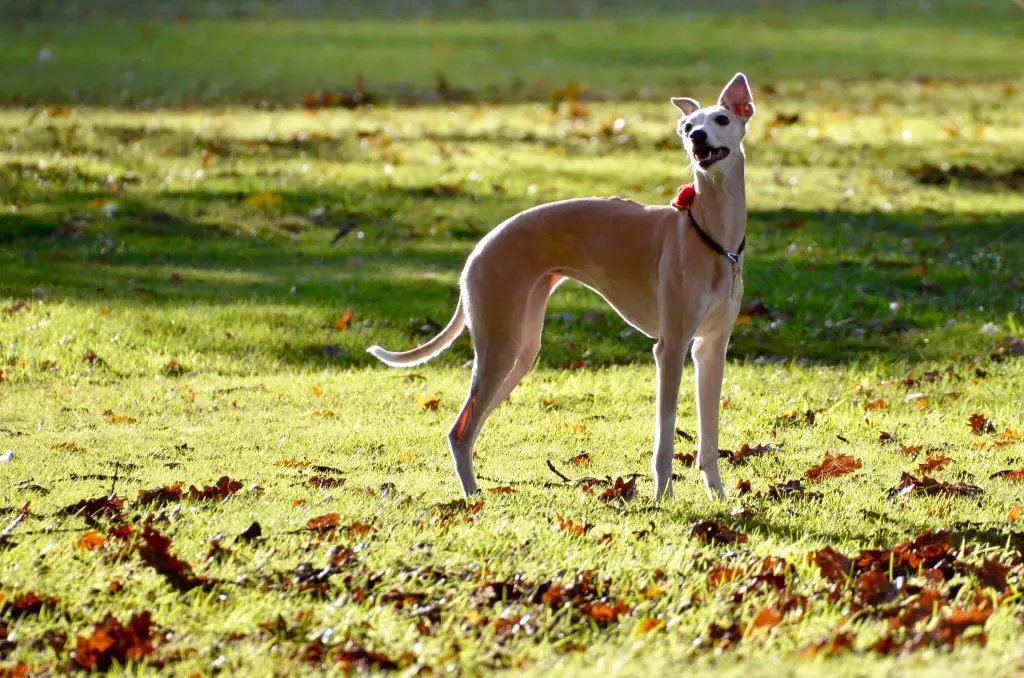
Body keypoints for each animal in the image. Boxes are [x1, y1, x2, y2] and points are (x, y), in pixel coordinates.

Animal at [368, 74, 753, 503]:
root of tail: (479, 248)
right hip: (500, 344)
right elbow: (665, 437)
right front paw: (661, 500)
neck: (710, 236)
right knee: (461, 429)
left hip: (520, 349)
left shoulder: (710, 349)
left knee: (466, 428)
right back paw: (472, 498)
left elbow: (709, 435)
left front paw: (719, 497)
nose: (697, 137)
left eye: (722, 119)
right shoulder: (670, 348)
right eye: (687, 127)